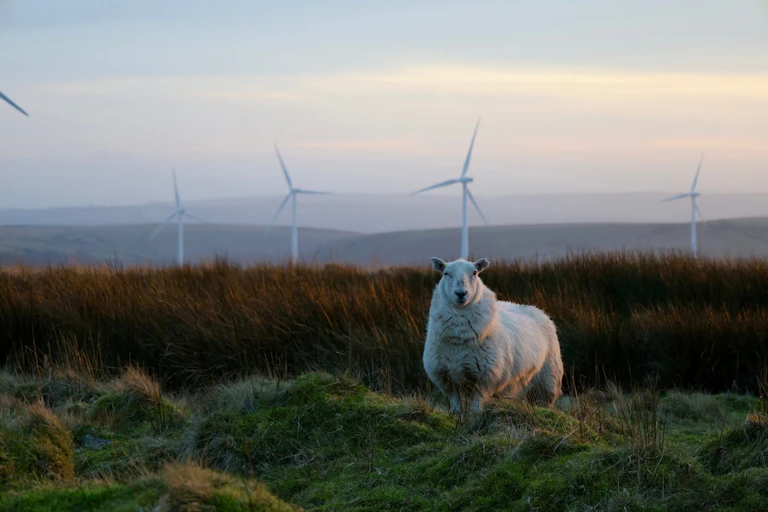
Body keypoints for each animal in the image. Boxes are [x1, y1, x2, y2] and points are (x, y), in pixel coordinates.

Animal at [422, 257, 563, 416]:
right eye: (446, 273)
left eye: (475, 273)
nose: (460, 293)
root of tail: (539, 311)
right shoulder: (446, 379)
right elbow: (456, 408)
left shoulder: (484, 379)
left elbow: (475, 409)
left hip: (548, 380)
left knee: (545, 403)